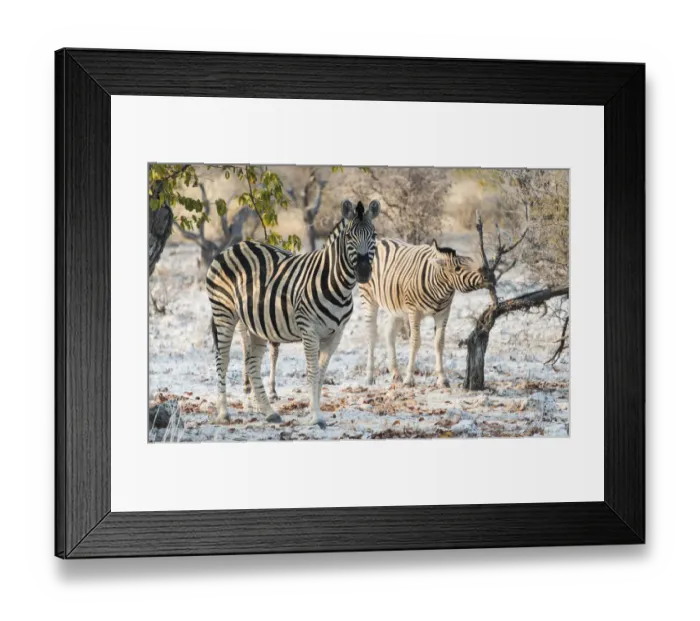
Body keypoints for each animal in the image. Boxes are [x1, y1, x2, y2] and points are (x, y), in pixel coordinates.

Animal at [206, 199, 380, 428]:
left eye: (374, 235)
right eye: (350, 237)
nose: (363, 272)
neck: (335, 284)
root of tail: (234, 246)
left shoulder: (335, 334)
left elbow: (321, 374)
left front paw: (314, 412)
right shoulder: (309, 330)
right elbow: (312, 372)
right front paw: (315, 417)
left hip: (254, 323)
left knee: (251, 364)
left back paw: (269, 412)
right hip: (223, 312)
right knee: (222, 358)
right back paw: (223, 412)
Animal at [360, 239, 487, 388]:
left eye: (471, 262)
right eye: (457, 269)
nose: (487, 276)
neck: (440, 288)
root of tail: (380, 240)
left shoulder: (443, 313)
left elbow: (439, 343)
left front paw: (442, 378)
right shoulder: (414, 312)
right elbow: (415, 342)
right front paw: (409, 378)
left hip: (396, 309)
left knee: (389, 333)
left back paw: (395, 373)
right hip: (369, 299)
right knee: (371, 335)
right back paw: (369, 377)